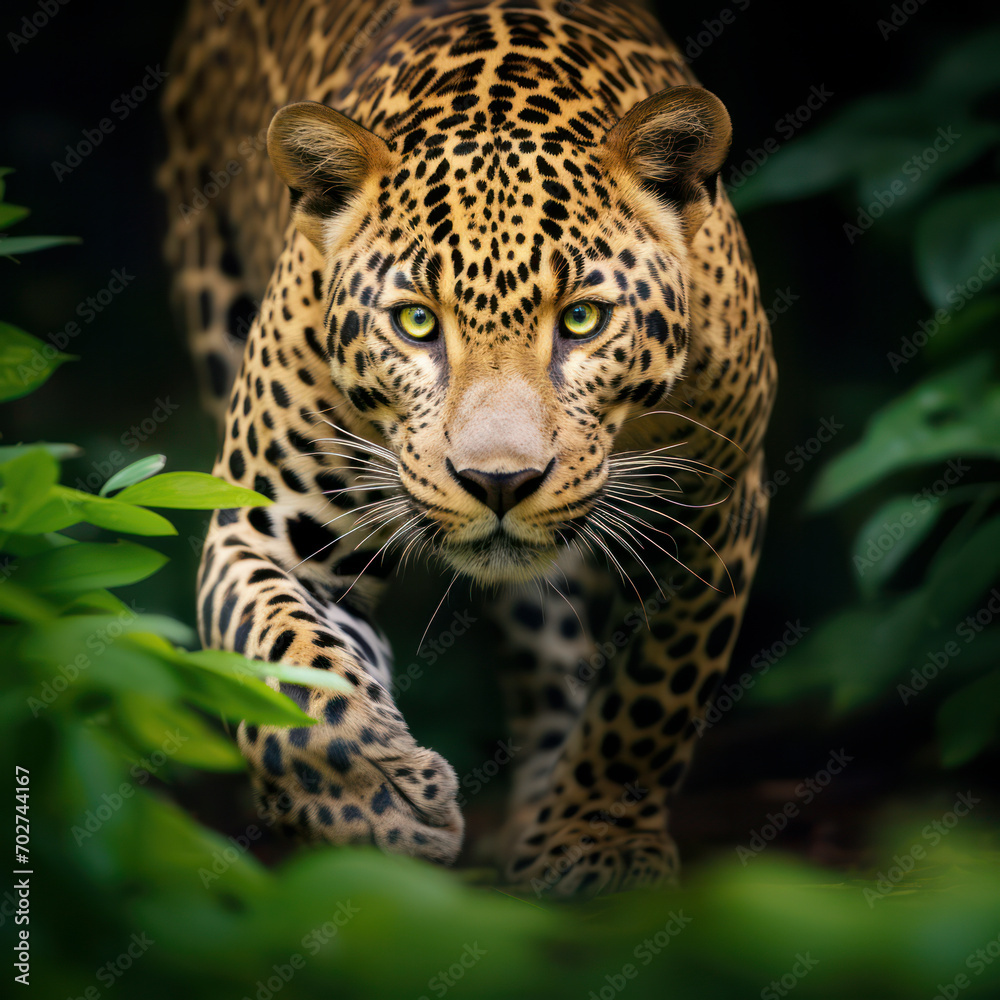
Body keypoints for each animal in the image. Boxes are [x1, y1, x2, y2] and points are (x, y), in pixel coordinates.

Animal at [159, 0, 777, 898]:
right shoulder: (260, 528)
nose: (499, 483)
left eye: (583, 319)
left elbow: (653, 691)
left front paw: (597, 843)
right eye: (417, 322)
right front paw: (377, 810)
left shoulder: (718, 509)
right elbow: (291, 674)